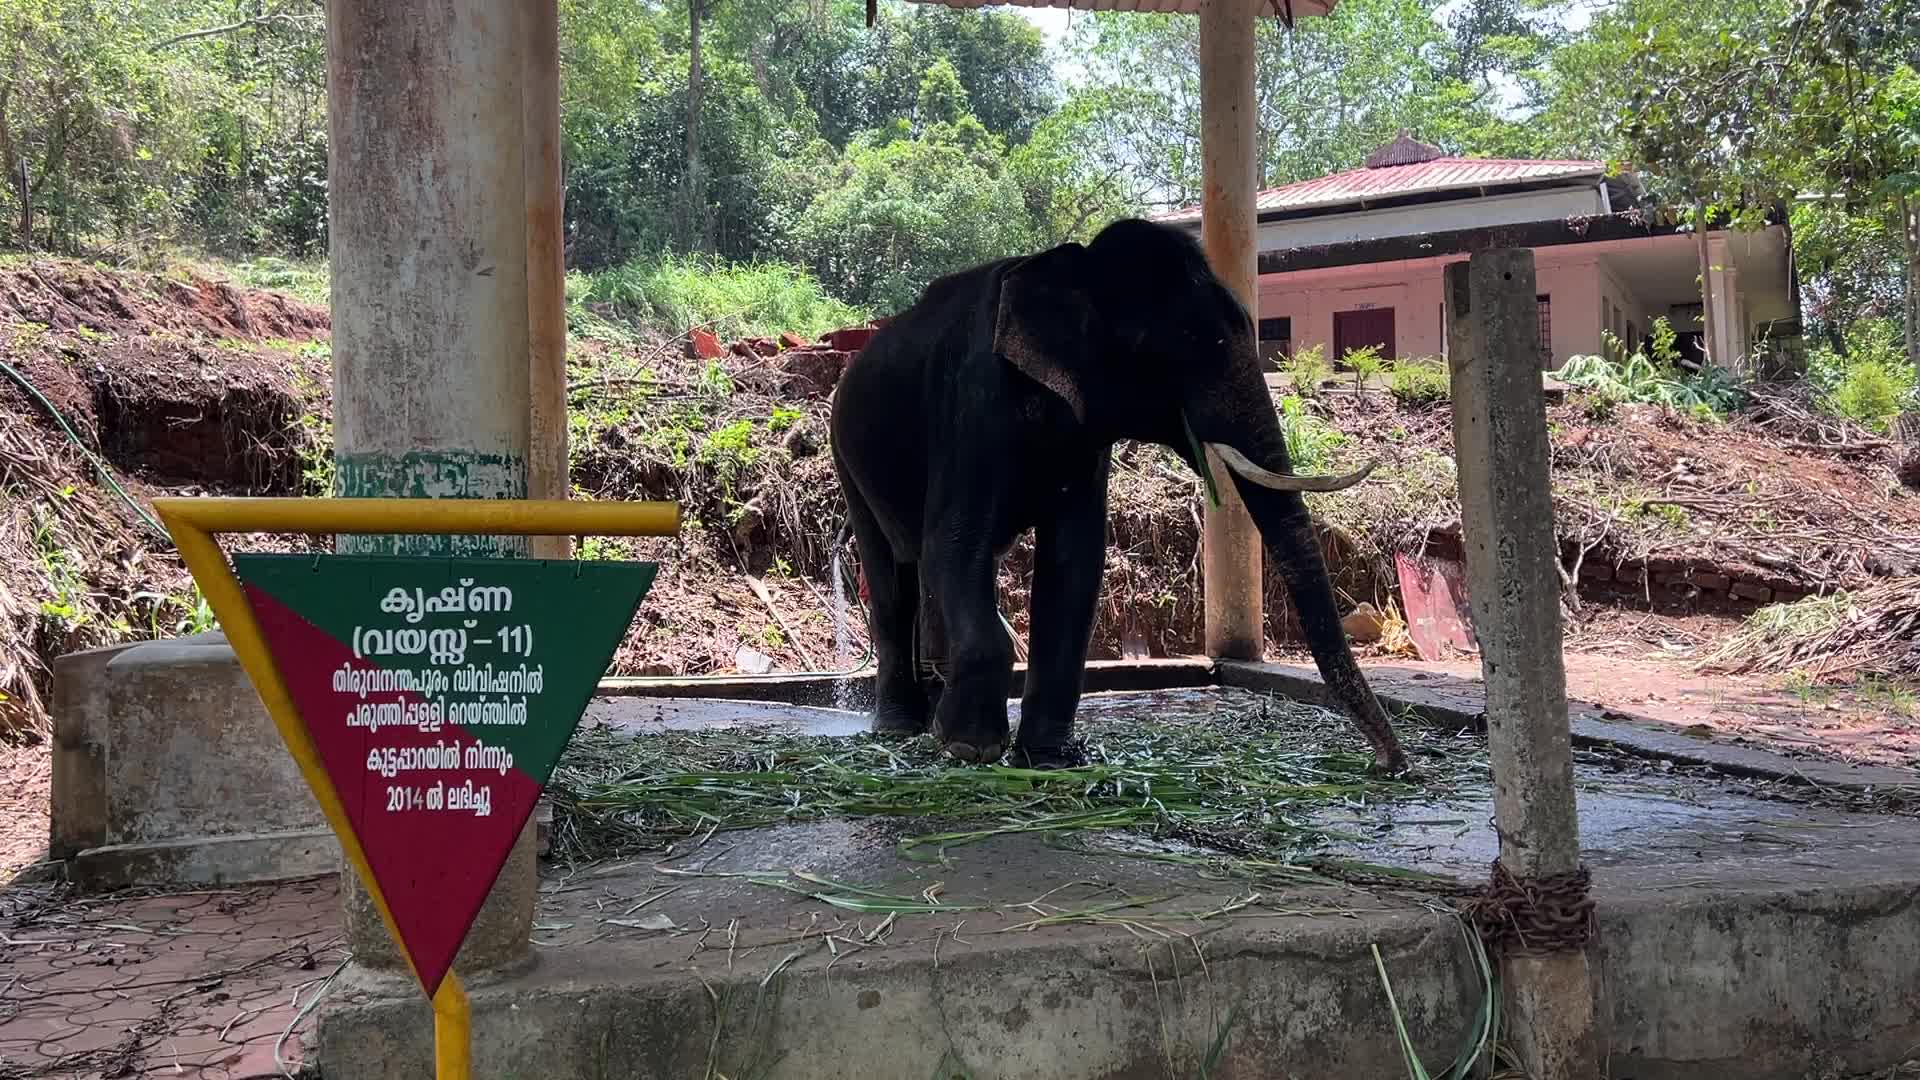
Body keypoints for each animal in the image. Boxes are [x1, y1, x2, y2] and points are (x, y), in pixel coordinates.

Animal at [829, 218, 1409, 773]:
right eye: (1178, 347)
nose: (1391, 765)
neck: (1072, 269)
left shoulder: (1085, 431)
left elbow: (1073, 560)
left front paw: (1046, 758)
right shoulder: (973, 398)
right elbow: (955, 540)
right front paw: (971, 748)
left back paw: (928, 719)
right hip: (847, 454)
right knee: (896, 574)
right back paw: (900, 728)